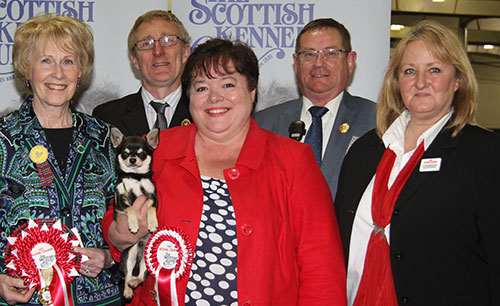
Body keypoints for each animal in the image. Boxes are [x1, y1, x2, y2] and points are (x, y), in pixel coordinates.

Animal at [111, 126, 160, 298]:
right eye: (125, 154)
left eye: (142, 154)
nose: (132, 159)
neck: (136, 177)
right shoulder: (120, 202)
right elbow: (131, 207)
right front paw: (133, 225)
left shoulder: (152, 196)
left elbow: (151, 208)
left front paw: (152, 223)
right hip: (128, 256)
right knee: (127, 274)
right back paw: (127, 290)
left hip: (147, 259)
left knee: (141, 276)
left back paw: (134, 283)